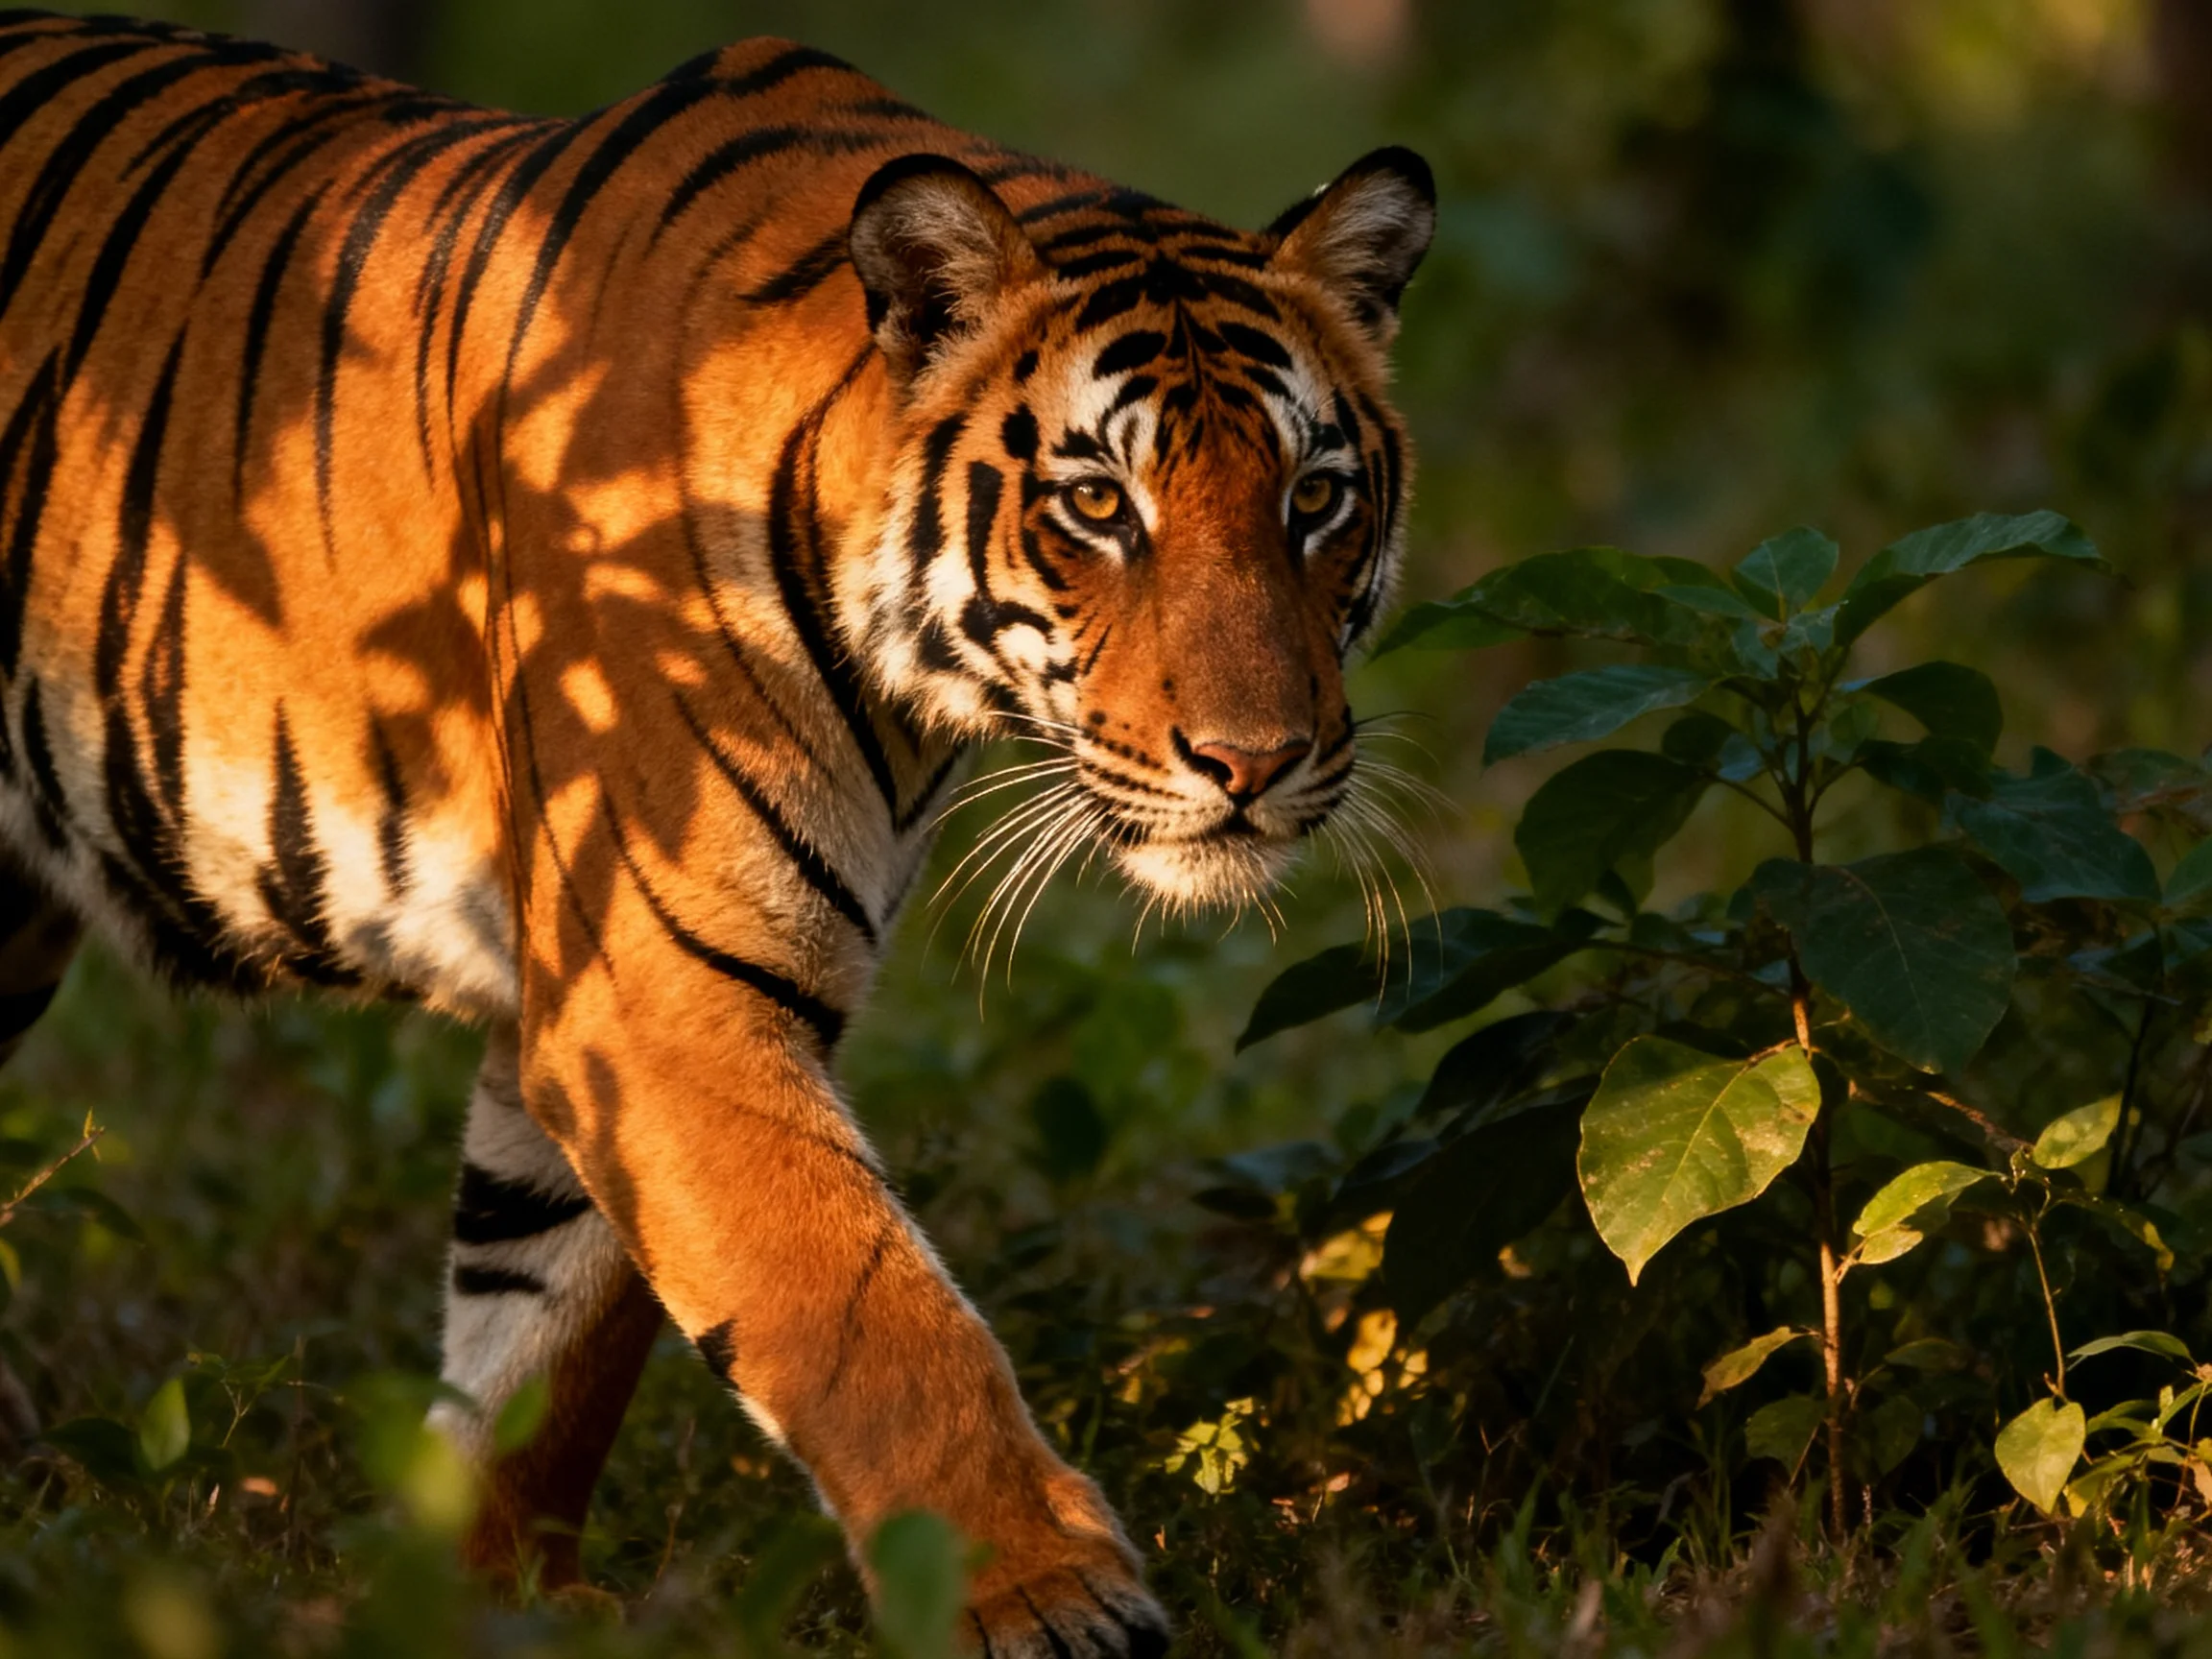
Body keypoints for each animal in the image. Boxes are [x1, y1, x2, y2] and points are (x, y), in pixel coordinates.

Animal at [0, 10, 1433, 1653]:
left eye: (1315, 497)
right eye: (1095, 505)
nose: (1256, 761)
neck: (915, 688)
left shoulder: (606, 1010)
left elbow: (545, 1334)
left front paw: (483, 1595)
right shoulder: (668, 999)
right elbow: (863, 1310)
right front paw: (1046, 1594)